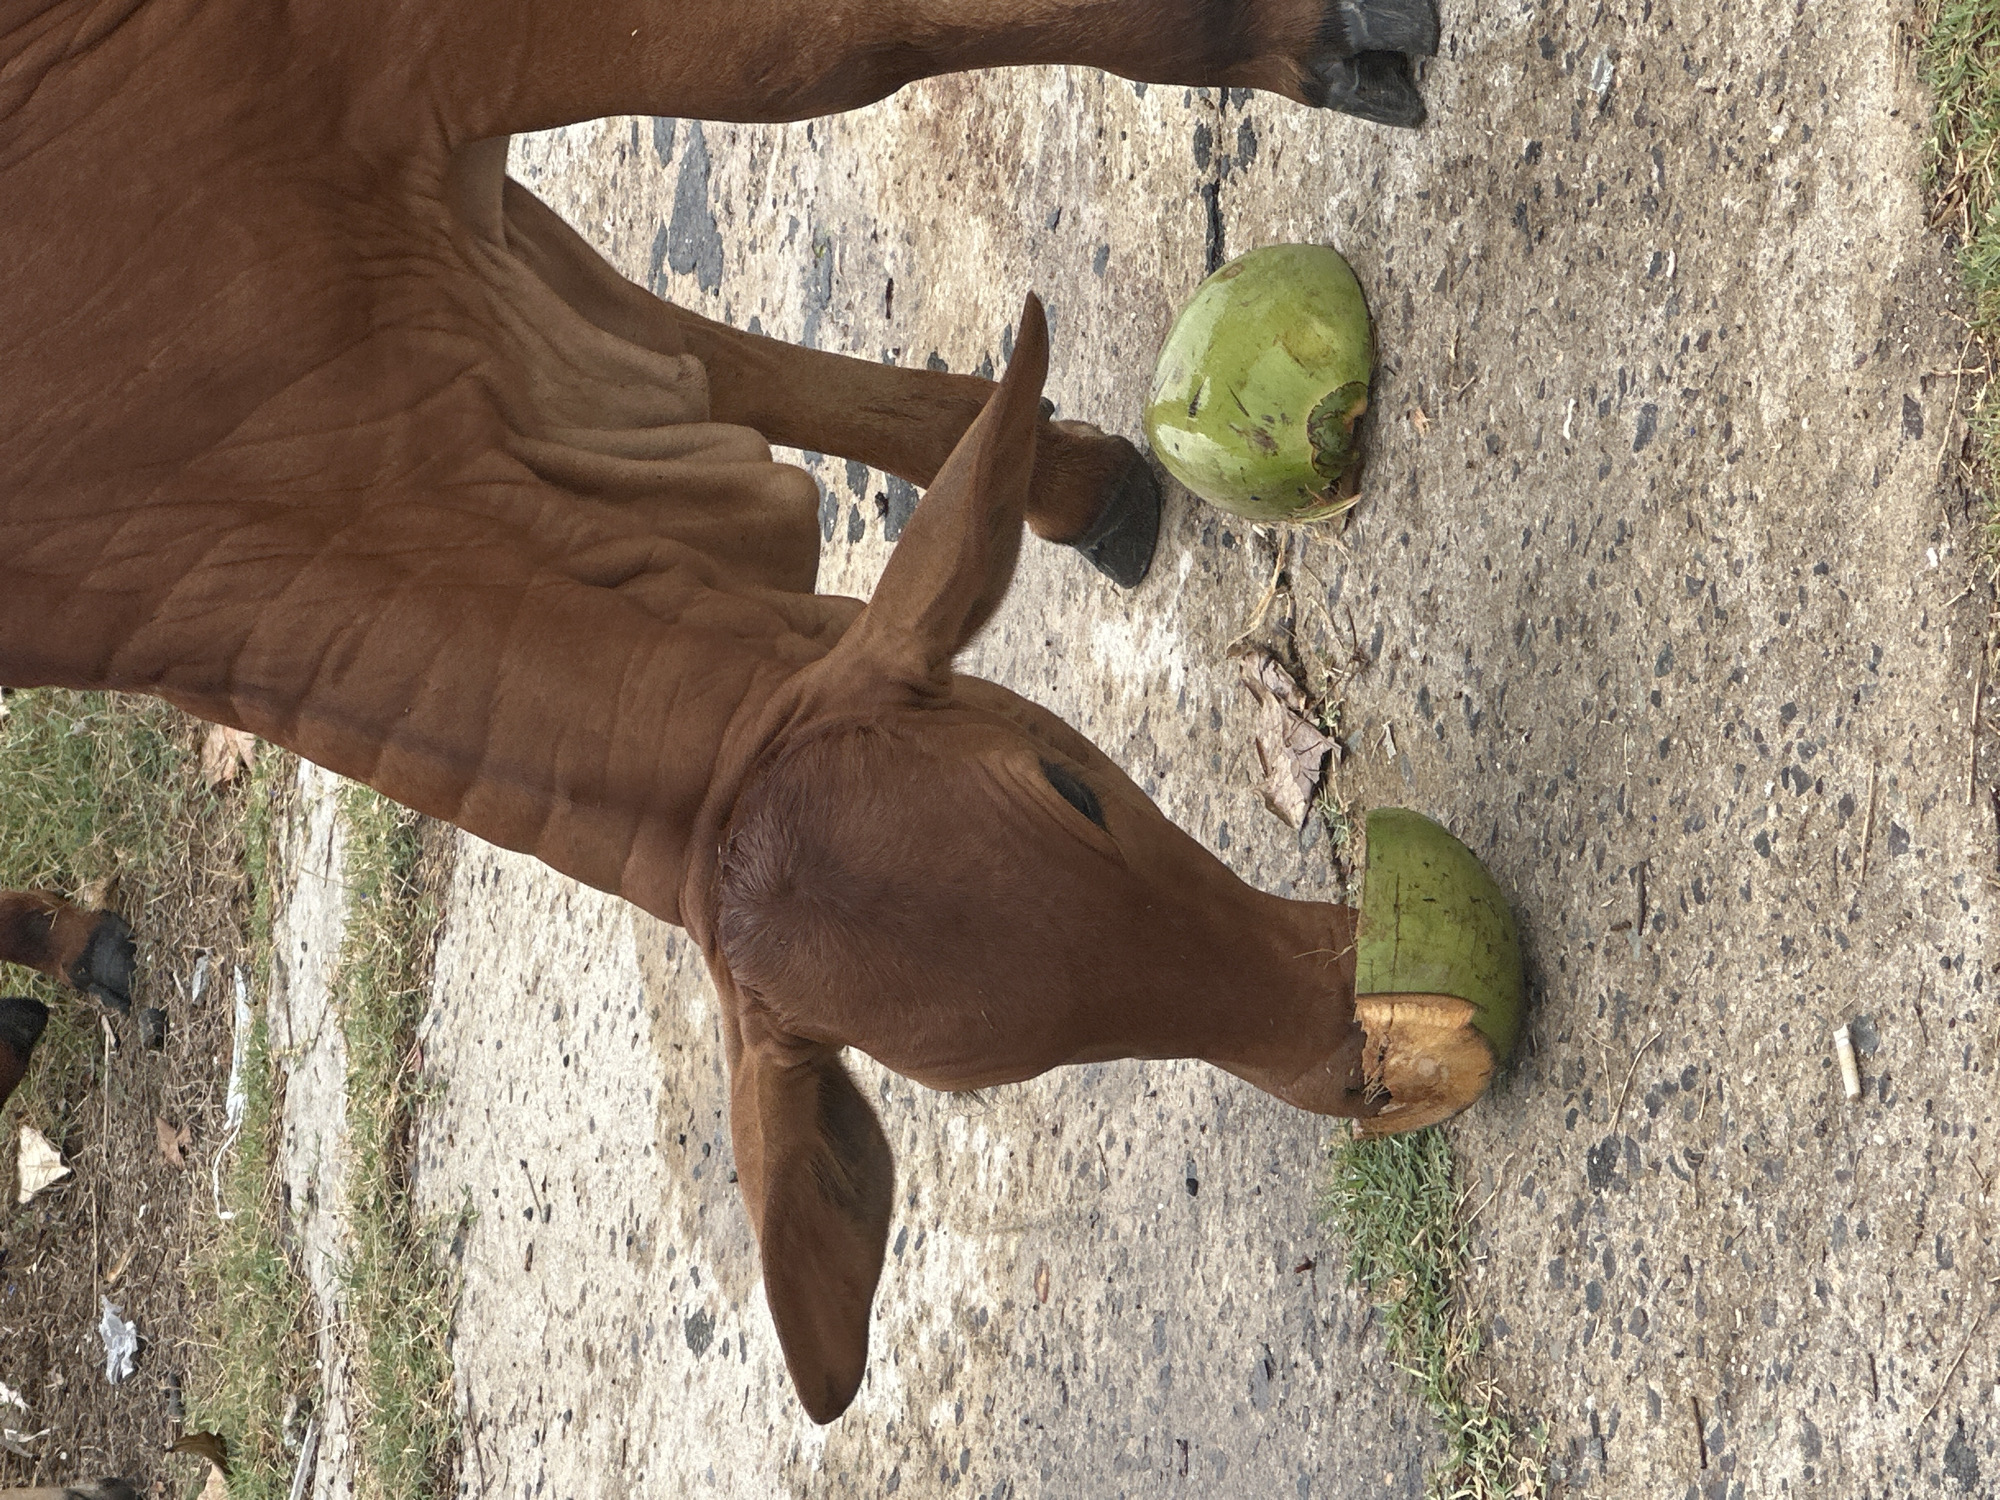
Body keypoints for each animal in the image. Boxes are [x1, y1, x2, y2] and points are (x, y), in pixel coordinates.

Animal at [3, 0, 1480, 1421]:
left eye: (1077, 787)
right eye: (997, 1078)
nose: (1355, 1053)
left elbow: (841, 62)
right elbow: (746, 366)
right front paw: (1074, 478)